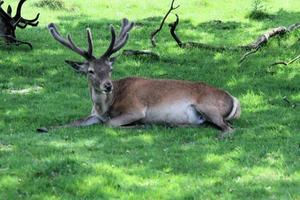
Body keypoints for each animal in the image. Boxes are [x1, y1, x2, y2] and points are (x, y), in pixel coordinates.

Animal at [38, 18, 241, 138]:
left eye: (110, 68)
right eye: (91, 71)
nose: (108, 86)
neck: (105, 107)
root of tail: (234, 99)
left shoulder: (135, 109)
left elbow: (109, 124)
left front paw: (139, 126)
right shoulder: (94, 115)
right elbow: (76, 122)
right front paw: (44, 128)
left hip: (208, 105)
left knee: (228, 128)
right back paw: (172, 125)